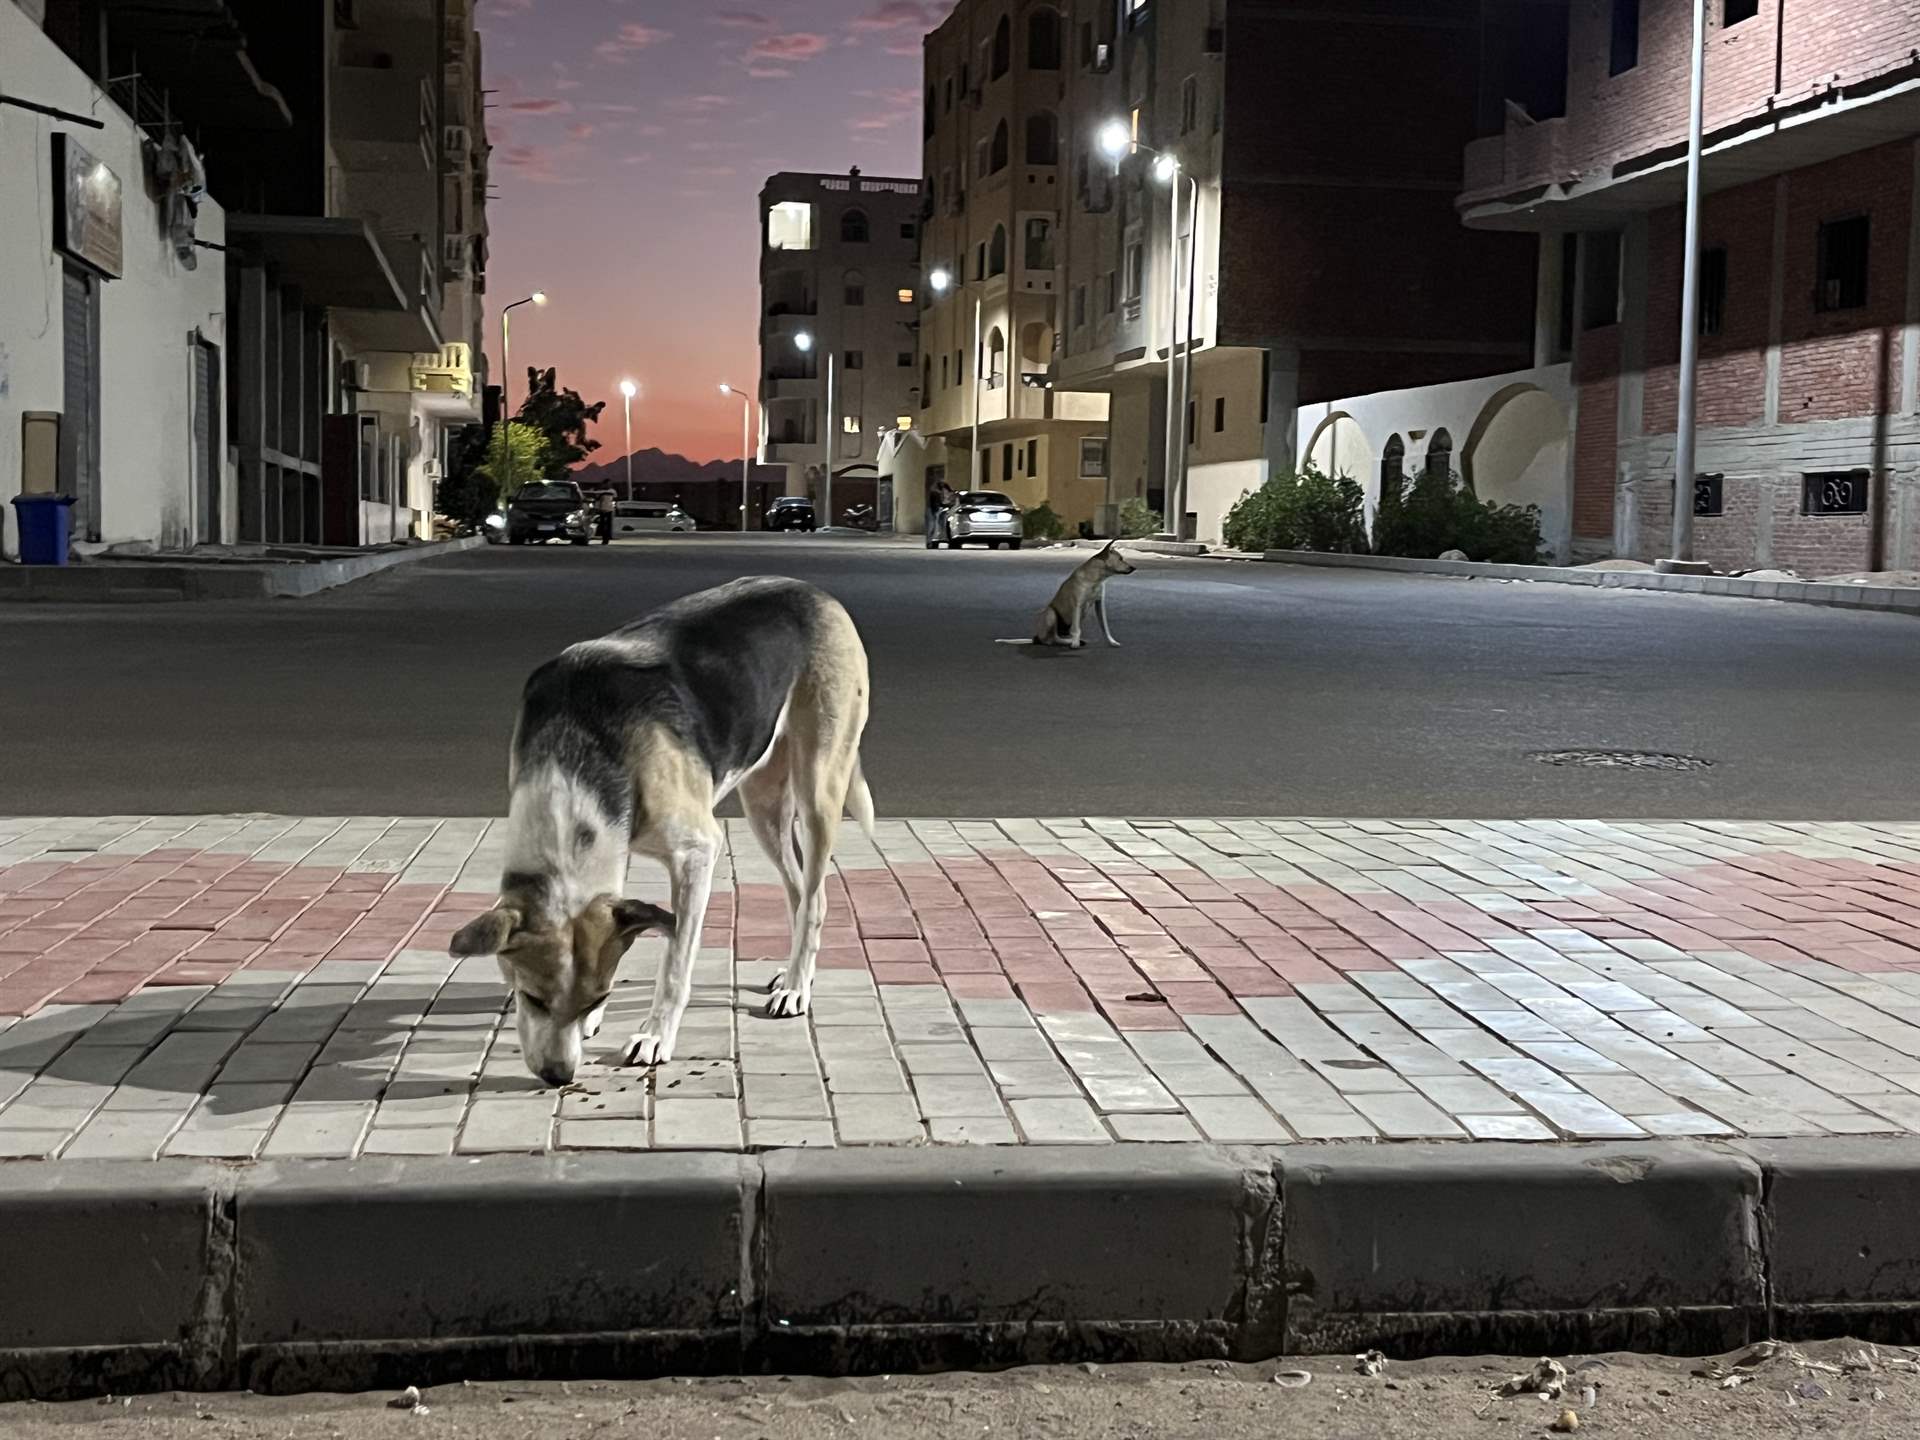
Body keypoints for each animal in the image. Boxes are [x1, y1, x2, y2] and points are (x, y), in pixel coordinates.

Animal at [445, 579, 875, 1090]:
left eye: (593, 997)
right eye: (531, 998)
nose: (558, 1076)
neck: (579, 748)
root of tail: (813, 591)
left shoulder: (697, 853)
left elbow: (675, 965)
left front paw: (653, 1036)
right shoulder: (614, 850)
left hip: (818, 789)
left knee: (813, 897)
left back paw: (794, 986)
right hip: (763, 804)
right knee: (800, 891)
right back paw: (796, 976)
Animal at [998, 545, 1128, 652]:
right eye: (1120, 559)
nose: (1132, 568)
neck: (1095, 578)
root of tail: (1036, 638)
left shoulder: (1099, 604)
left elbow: (1105, 627)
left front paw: (1112, 641)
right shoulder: (1077, 605)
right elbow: (1076, 629)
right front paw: (1075, 643)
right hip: (1050, 614)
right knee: (1052, 639)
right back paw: (1071, 642)